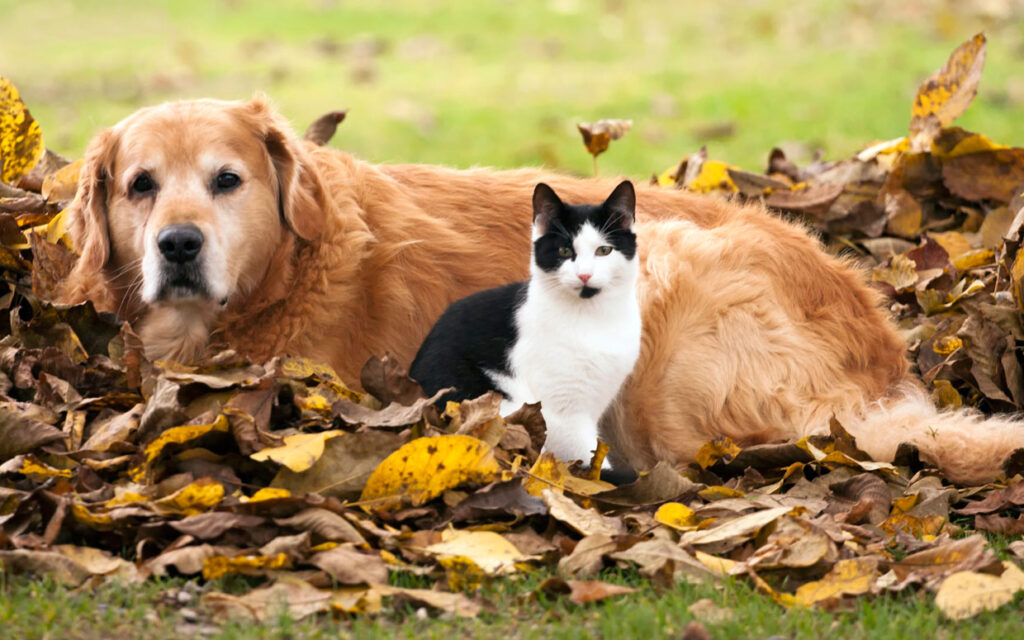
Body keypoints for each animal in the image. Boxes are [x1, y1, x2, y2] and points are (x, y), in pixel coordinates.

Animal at [409, 178, 638, 468]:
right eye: (564, 250)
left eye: (604, 250)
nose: (584, 275)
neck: (592, 317)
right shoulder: (562, 413)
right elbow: (588, 459)